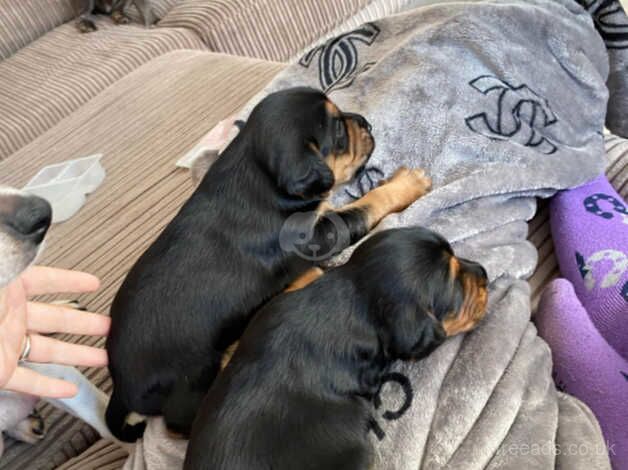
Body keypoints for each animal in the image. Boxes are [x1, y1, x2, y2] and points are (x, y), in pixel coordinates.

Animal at [106, 87, 432, 440]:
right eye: (339, 132)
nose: (366, 123)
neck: (258, 173)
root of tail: (120, 385)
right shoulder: (317, 236)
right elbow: (361, 208)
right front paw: (408, 184)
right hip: (191, 382)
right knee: (182, 423)